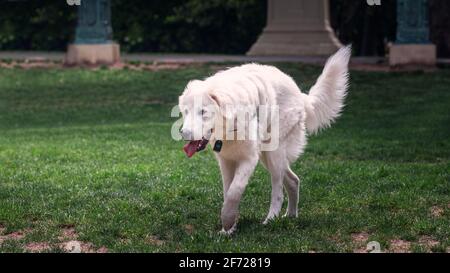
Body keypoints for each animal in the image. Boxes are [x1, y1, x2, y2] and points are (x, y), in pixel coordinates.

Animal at [178, 45, 350, 233]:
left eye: (203, 112)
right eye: (185, 111)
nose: (183, 133)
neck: (232, 124)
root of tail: (299, 93)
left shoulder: (248, 159)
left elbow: (234, 192)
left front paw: (228, 220)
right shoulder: (226, 162)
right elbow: (227, 192)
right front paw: (228, 229)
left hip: (274, 154)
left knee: (278, 191)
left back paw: (271, 219)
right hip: (268, 157)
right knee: (293, 181)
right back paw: (291, 216)